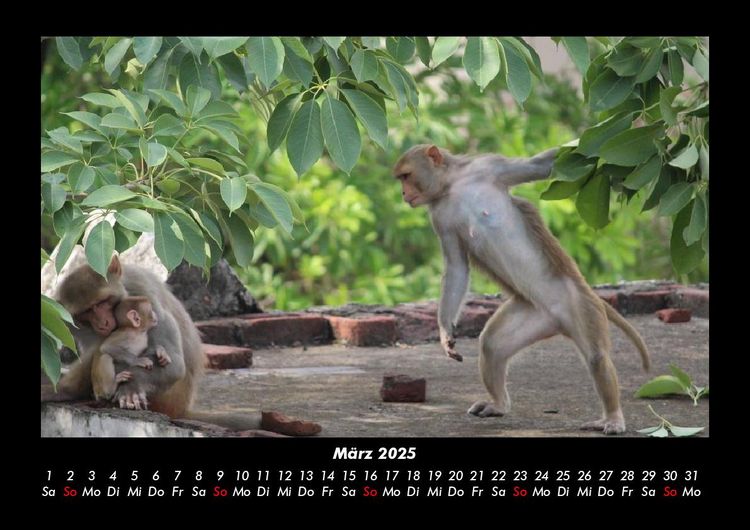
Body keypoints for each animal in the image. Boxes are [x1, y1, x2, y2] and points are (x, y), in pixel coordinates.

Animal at [393, 144, 651, 434]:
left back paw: (613, 417)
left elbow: (541, 165)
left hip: (582, 304)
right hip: (534, 312)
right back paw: (498, 404)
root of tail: (558, 320)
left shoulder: (488, 165)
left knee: (597, 358)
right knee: (492, 345)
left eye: (406, 176)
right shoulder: (439, 217)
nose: (403, 193)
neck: (452, 186)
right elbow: (457, 267)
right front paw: (445, 331)